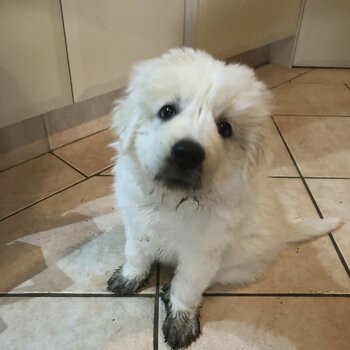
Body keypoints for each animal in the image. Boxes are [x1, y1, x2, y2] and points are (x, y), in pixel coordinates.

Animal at [107, 47, 342, 348]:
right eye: (167, 111)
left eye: (225, 128)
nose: (187, 153)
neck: (174, 201)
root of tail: (284, 231)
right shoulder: (138, 225)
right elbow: (135, 254)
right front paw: (129, 277)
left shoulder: (202, 253)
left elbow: (188, 286)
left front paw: (180, 320)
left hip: (239, 264)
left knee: (210, 278)